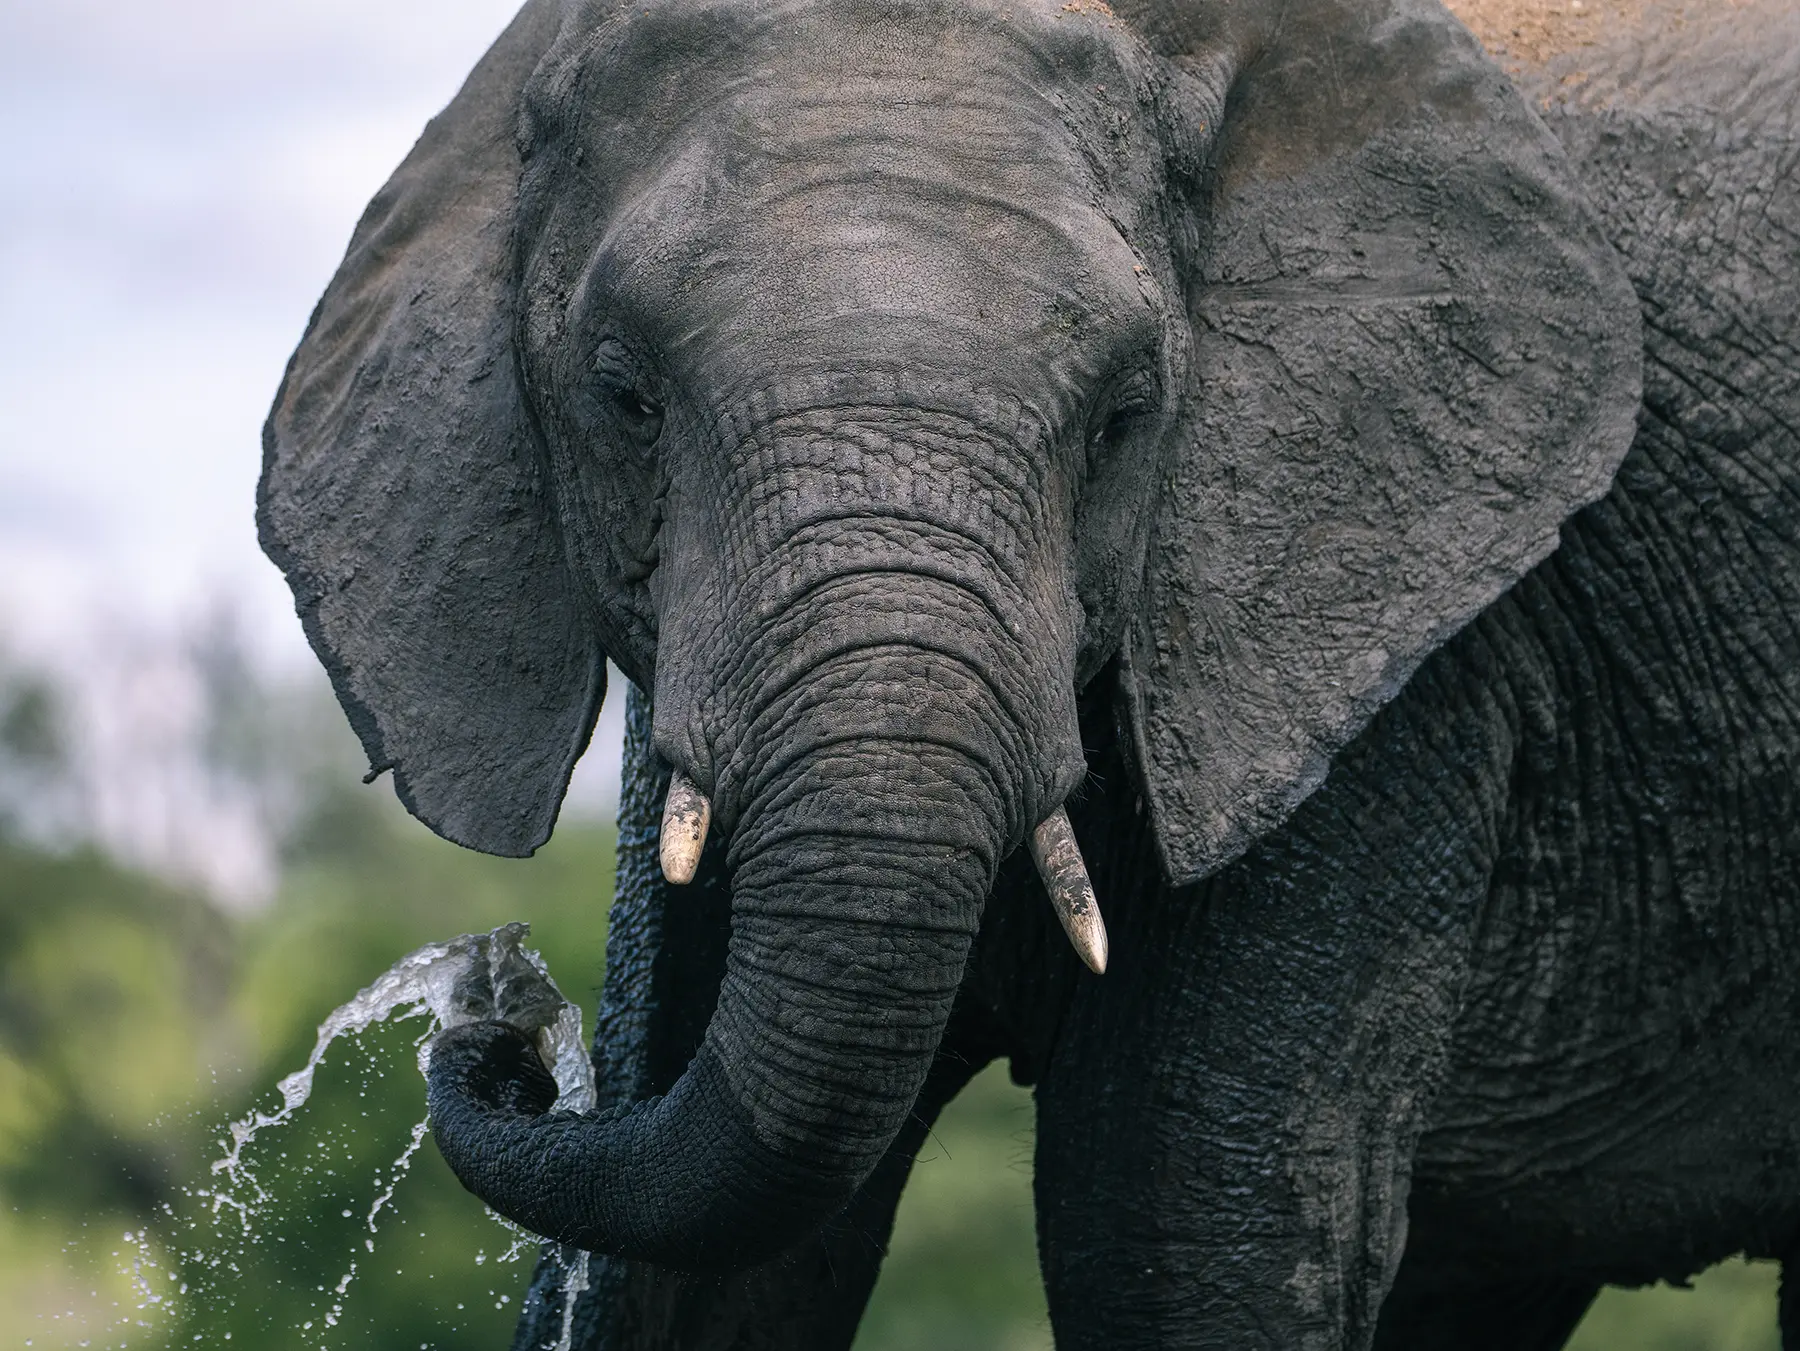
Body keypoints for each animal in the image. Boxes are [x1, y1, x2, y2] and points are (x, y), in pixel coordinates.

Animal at [256, 0, 1800, 1344]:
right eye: (624, 394)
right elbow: (703, 1262)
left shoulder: (1404, 645)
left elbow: (1173, 1222)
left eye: (1126, 417)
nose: (502, 1004)